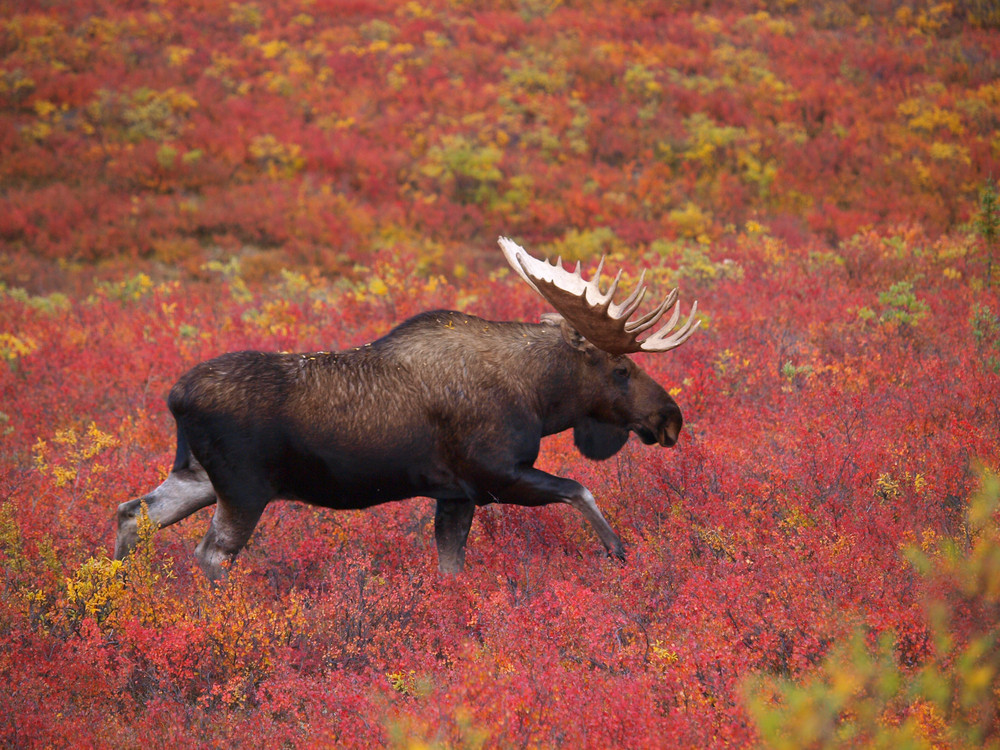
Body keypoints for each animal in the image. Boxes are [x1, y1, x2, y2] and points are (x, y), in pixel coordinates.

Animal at [113, 238, 700, 580]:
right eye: (620, 369)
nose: (670, 418)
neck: (539, 398)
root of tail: (175, 397)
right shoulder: (494, 475)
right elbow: (581, 489)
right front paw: (619, 552)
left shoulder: (455, 494)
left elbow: (451, 569)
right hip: (242, 489)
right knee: (209, 554)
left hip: (196, 476)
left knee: (132, 513)